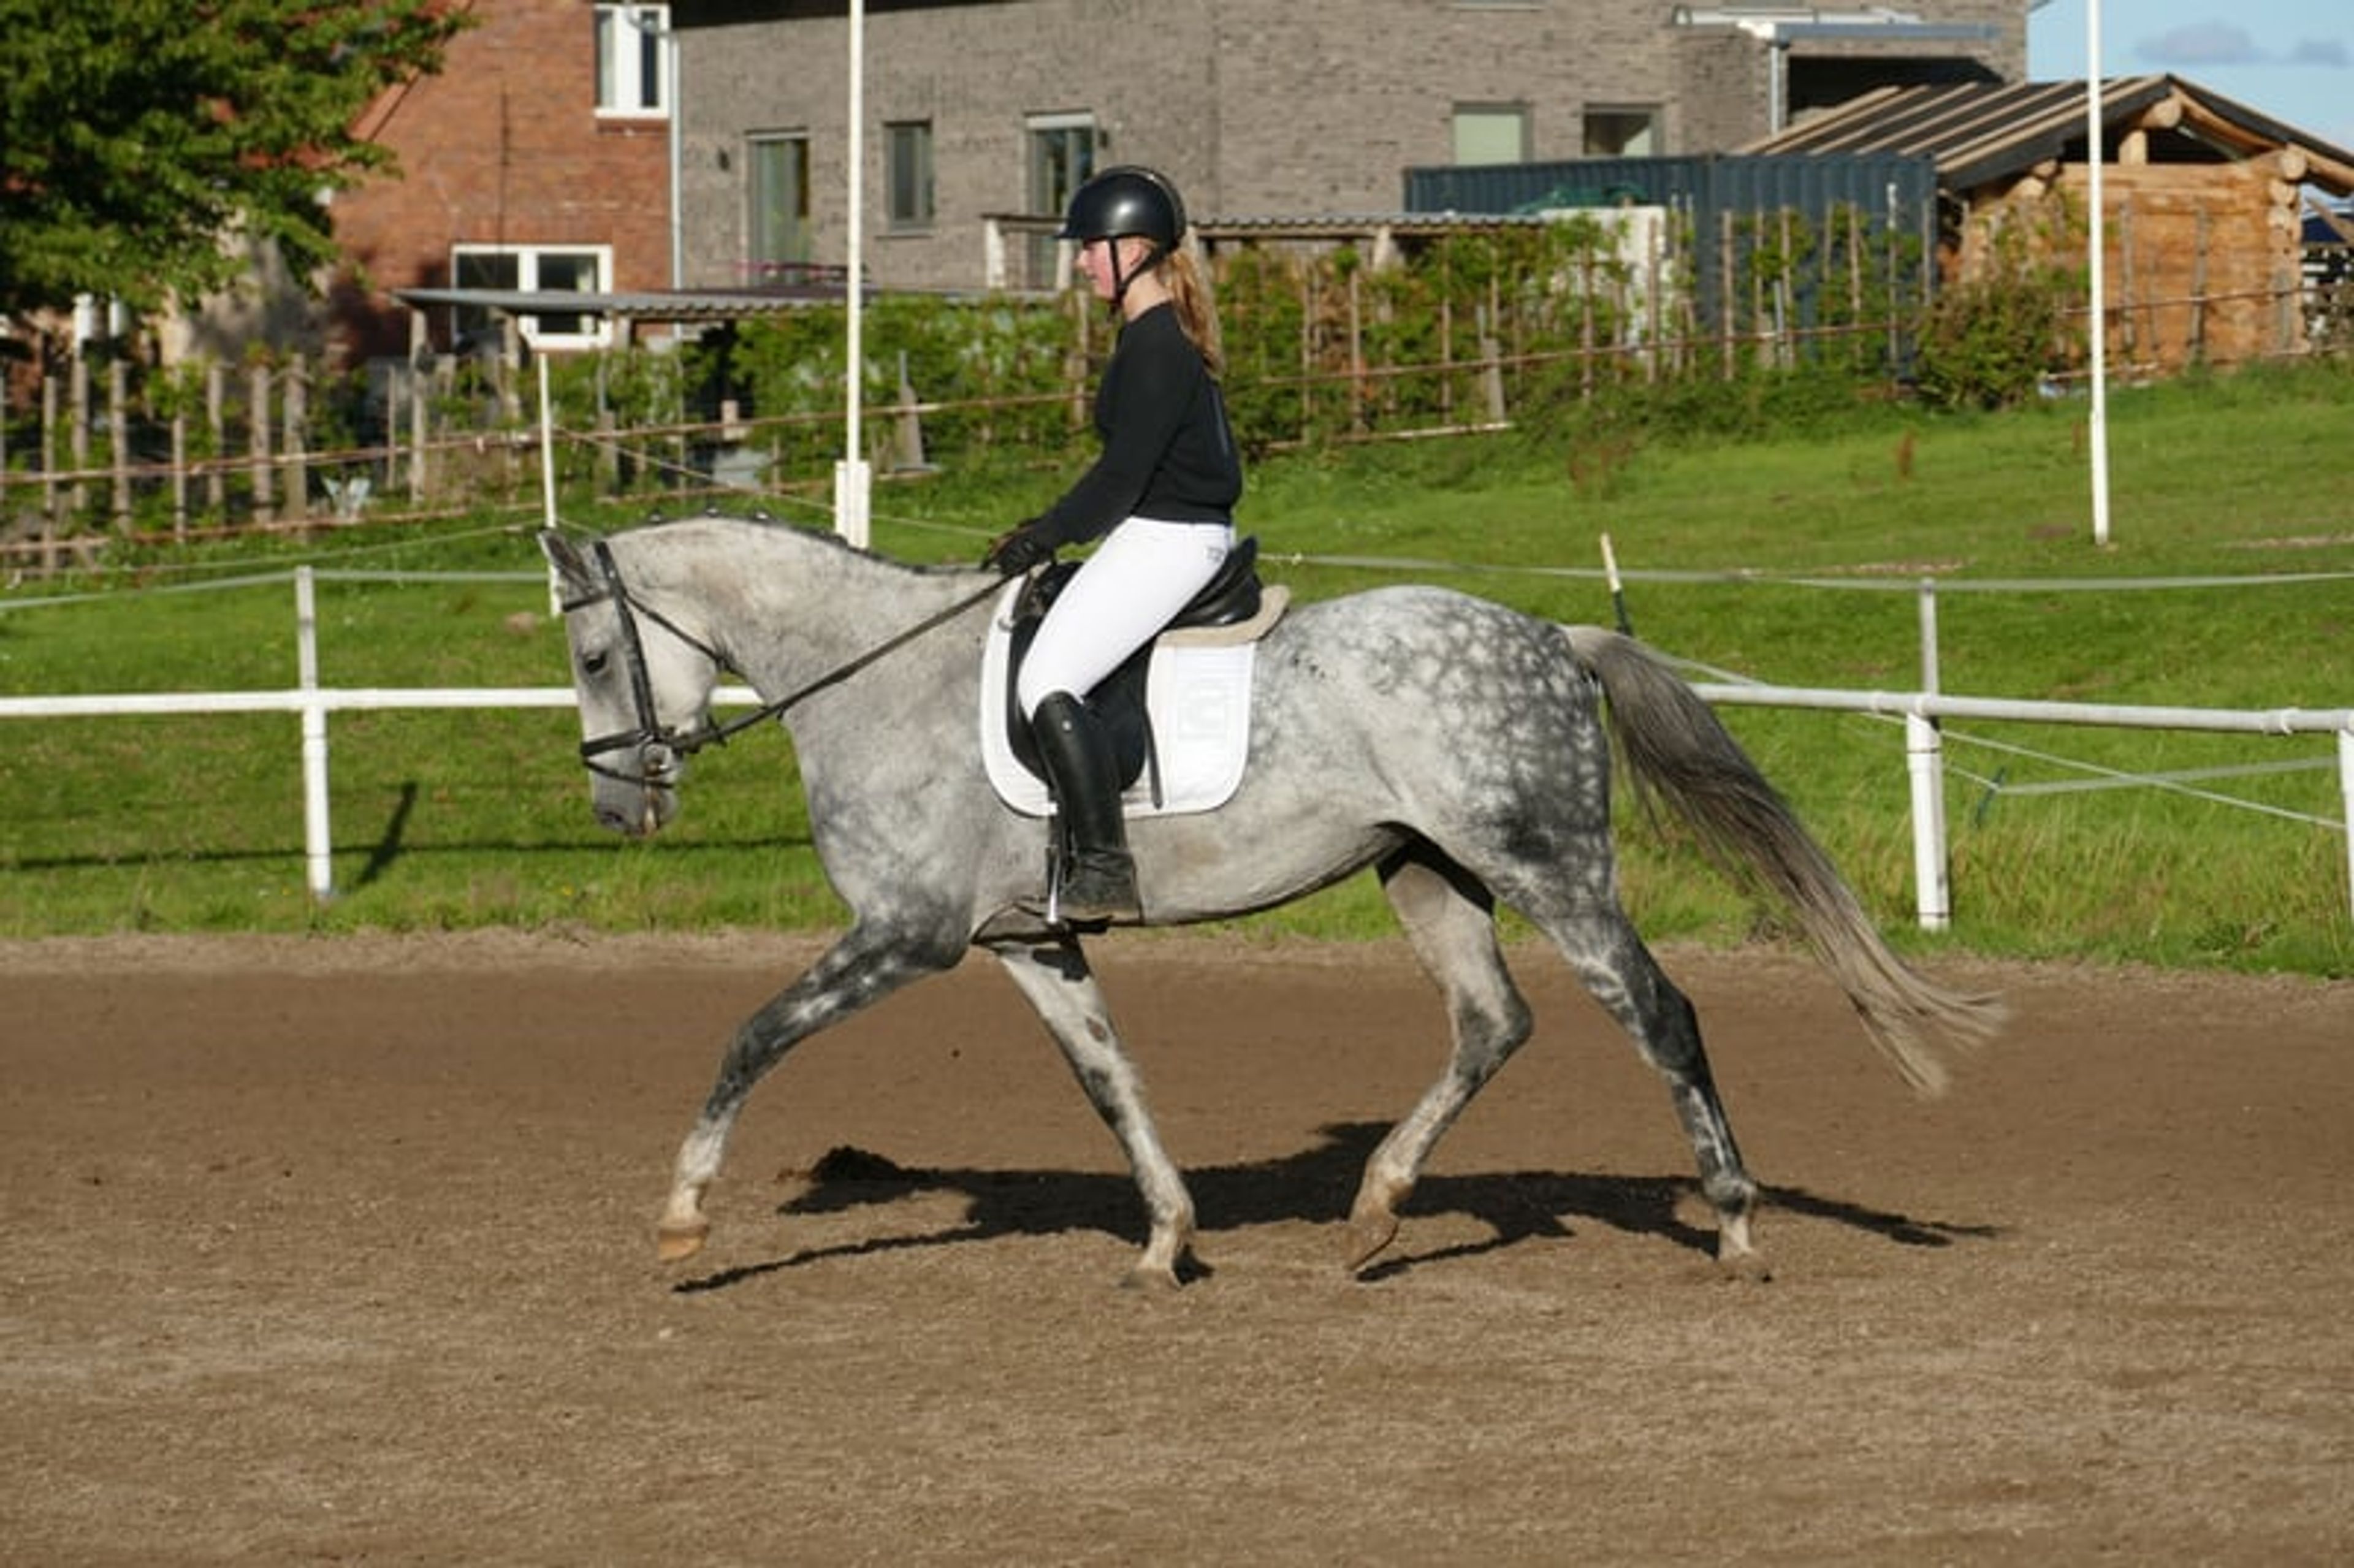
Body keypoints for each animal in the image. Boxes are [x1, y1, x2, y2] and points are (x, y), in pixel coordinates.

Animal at [540, 515, 2001, 1288]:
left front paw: (683, 1217)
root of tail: (1554, 636)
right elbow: (1111, 1081)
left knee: (1658, 1012)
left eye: (599, 652)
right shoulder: (1026, 940)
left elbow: (752, 1037)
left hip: (1546, 861)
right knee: (1492, 1022)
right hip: (1424, 866)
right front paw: (1165, 1241)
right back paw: (1376, 1210)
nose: (620, 810)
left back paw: (1737, 1225)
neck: (874, 676)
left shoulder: (908, 935)